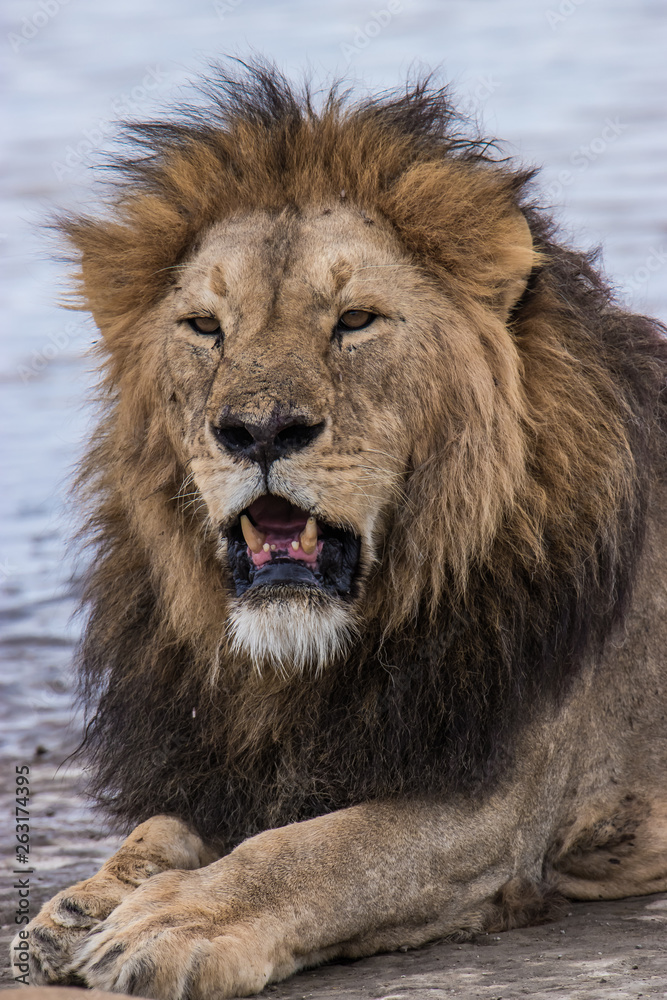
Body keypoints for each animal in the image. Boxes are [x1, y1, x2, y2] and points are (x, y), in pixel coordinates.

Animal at [14, 63, 667, 998]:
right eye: (204, 328)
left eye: (355, 321)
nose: (259, 431)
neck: (303, 663)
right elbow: (165, 825)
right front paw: (86, 902)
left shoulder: (497, 807)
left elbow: (313, 852)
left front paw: (176, 920)